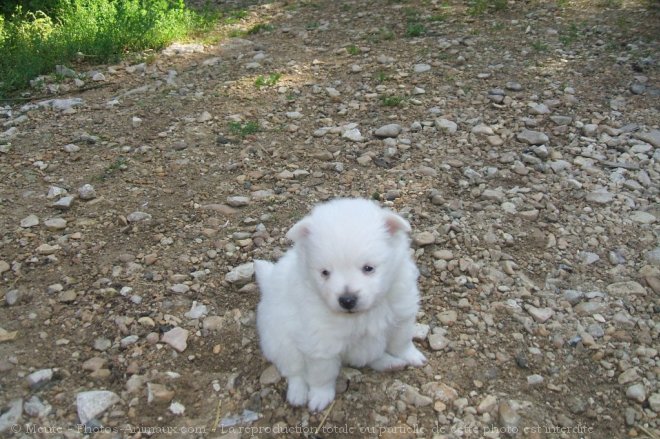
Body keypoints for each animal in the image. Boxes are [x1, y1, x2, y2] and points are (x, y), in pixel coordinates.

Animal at [253, 199, 428, 412]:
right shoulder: (321, 344)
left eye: (368, 268)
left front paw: (412, 356)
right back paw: (298, 393)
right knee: (294, 371)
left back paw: (390, 363)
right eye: (325, 272)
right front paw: (320, 396)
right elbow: (322, 374)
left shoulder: (401, 316)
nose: (347, 300)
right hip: (280, 342)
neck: (362, 315)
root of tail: (267, 283)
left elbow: (402, 342)